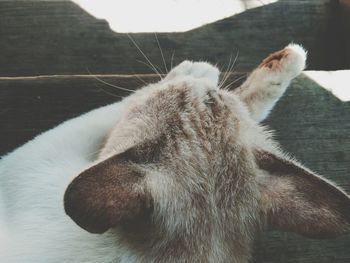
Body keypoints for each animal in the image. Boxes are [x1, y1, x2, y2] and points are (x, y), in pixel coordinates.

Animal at [0, 43, 350, 263]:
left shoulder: (41, 156)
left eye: (177, 96)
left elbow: (121, 103)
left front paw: (197, 70)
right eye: (214, 100)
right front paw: (281, 66)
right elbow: (250, 102)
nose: (207, 88)